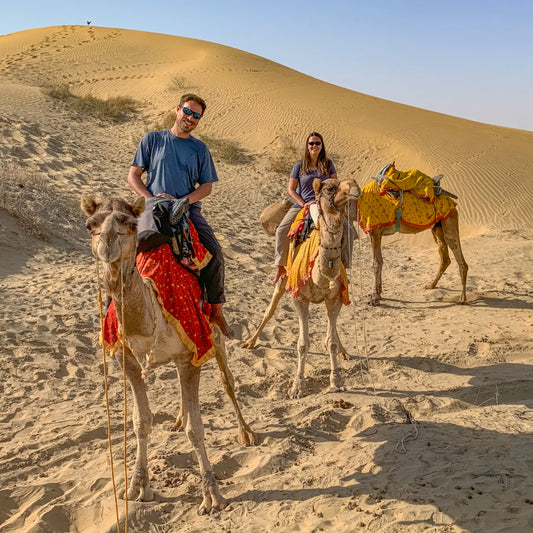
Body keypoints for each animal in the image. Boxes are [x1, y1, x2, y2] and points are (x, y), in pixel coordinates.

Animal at [81, 194, 258, 512]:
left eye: (130, 223)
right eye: (91, 225)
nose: (107, 245)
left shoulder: (192, 352)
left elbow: (196, 429)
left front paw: (212, 496)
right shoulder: (127, 360)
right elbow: (141, 421)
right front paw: (137, 488)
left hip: (214, 330)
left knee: (227, 380)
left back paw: (245, 433)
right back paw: (177, 419)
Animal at [242, 179, 360, 400]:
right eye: (330, 188)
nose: (355, 186)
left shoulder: (335, 299)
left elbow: (331, 341)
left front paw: (336, 381)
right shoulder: (300, 298)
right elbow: (302, 344)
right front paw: (297, 386)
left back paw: (344, 351)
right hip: (284, 276)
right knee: (270, 309)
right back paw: (250, 342)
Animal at [358, 162, 466, 306]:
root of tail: (453, 201)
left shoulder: (374, 230)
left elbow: (376, 263)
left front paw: (375, 298)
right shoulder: (376, 233)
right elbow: (380, 261)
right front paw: (378, 294)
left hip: (449, 219)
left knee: (458, 255)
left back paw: (462, 298)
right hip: (437, 226)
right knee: (444, 256)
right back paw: (431, 285)